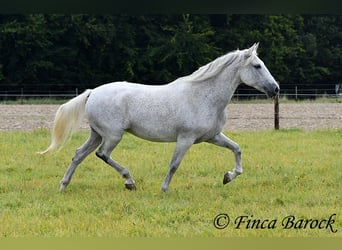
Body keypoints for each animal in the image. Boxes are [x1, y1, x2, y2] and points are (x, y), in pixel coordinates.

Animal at [41, 43, 280, 191]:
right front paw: (164, 189)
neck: (203, 96)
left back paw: (63, 185)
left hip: (97, 134)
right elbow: (174, 164)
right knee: (102, 154)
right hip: (112, 135)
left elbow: (237, 149)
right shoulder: (186, 138)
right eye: (257, 65)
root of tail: (92, 92)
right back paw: (129, 181)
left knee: (78, 155)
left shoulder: (212, 136)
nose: (275, 89)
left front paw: (228, 177)